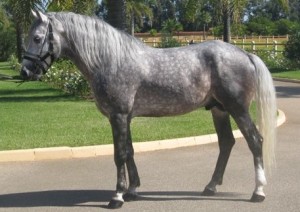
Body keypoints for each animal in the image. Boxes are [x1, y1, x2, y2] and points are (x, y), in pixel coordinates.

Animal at [20, 10, 276, 209]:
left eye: (37, 38)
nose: (25, 71)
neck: (109, 60)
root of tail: (246, 54)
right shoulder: (125, 117)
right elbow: (130, 151)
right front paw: (132, 190)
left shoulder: (118, 116)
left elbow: (119, 154)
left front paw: (117, 196)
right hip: (219, 110)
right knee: (226, 143)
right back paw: (210, 186)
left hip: (238, 109)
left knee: (255, 141)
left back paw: (258, 192)